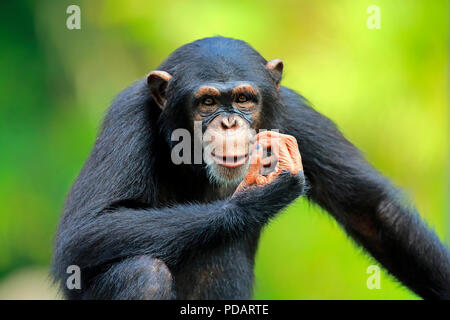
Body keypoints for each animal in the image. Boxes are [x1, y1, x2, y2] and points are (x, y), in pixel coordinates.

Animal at [51, 36, 450, 298]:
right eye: (208, 102)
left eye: (243, 99)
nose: (229, 123)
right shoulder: (127, 117)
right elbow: (85, 231)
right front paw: (258, 197)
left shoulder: (296, 115)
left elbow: (373, 211)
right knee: (143, 274)